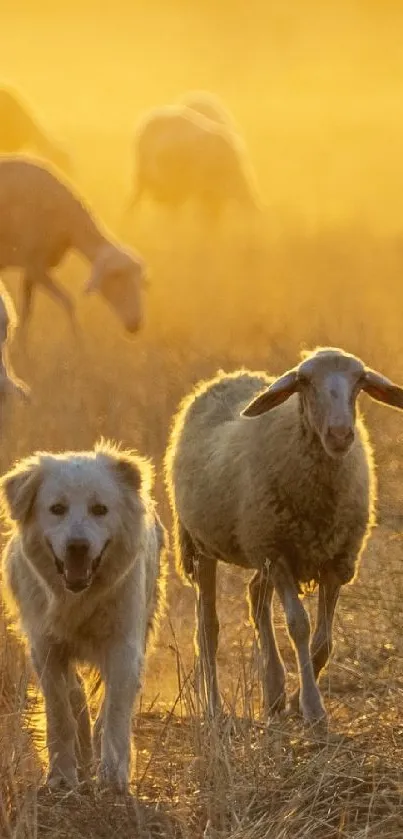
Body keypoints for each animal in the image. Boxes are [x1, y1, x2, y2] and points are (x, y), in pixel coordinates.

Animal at [0, 156, 148, 340]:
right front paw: (79, 343)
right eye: (115, 278)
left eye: (138, 282)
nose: (135, 325)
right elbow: (69, 303)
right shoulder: (35, 266)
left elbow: (26, 314)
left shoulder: (32, 270)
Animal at [0, 440, 167, 796]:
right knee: (75, 695)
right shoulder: (46, 648)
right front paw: (62, 775)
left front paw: (114, 776)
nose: (78, 546)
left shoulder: (124, 646)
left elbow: (115, 712)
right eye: (57, 509)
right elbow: (60, 711)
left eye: (100, 509)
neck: (78, 598)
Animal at [165, 344, 403, 724]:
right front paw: (313, 707)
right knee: (208, 629)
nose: (340, 435)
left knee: (255, 596)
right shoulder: (278, 554)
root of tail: (228, 376)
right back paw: (214, 707)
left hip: (258, 546)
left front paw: (294, 701)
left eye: (360, 380)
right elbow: (299, 626)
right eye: (304, 381)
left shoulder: (336, 560)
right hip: (205, 546)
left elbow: (324, 640)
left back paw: (274, 691)